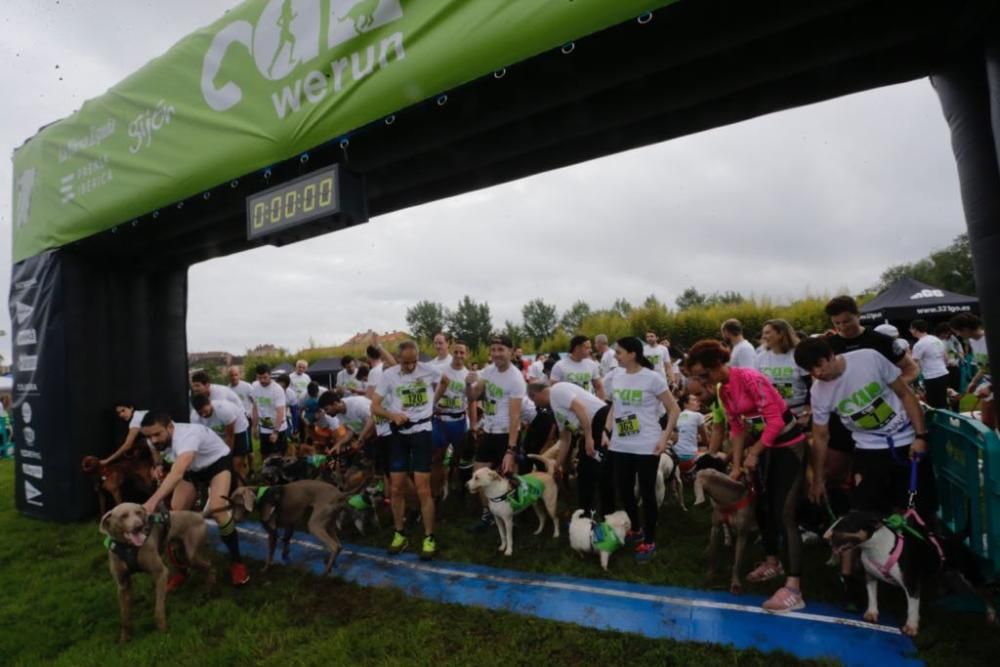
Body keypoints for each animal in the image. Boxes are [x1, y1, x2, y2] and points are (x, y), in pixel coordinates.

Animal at [100, 506, 215, 640]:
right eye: (123, 516)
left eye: (139, 512)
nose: (139, 526)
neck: (128, 547)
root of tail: (199, 514)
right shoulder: (123, 586)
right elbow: (125, 618)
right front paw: (124, 639)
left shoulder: (161, 573)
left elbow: (158, 610)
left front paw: (163, 631)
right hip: (179, 551)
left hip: (192, 556)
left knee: (210, 567)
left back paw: (210, 592)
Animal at [824, 512, 996, 636]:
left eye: (845, 525)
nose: (825, 536)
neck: (877, 548)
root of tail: (955, 540)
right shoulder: (870, 576)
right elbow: (872, 595)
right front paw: (871, 614)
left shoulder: (911, 584)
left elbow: (912, 607)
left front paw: (911, 627)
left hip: (971, 576)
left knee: (987, 591)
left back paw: (992, 615)